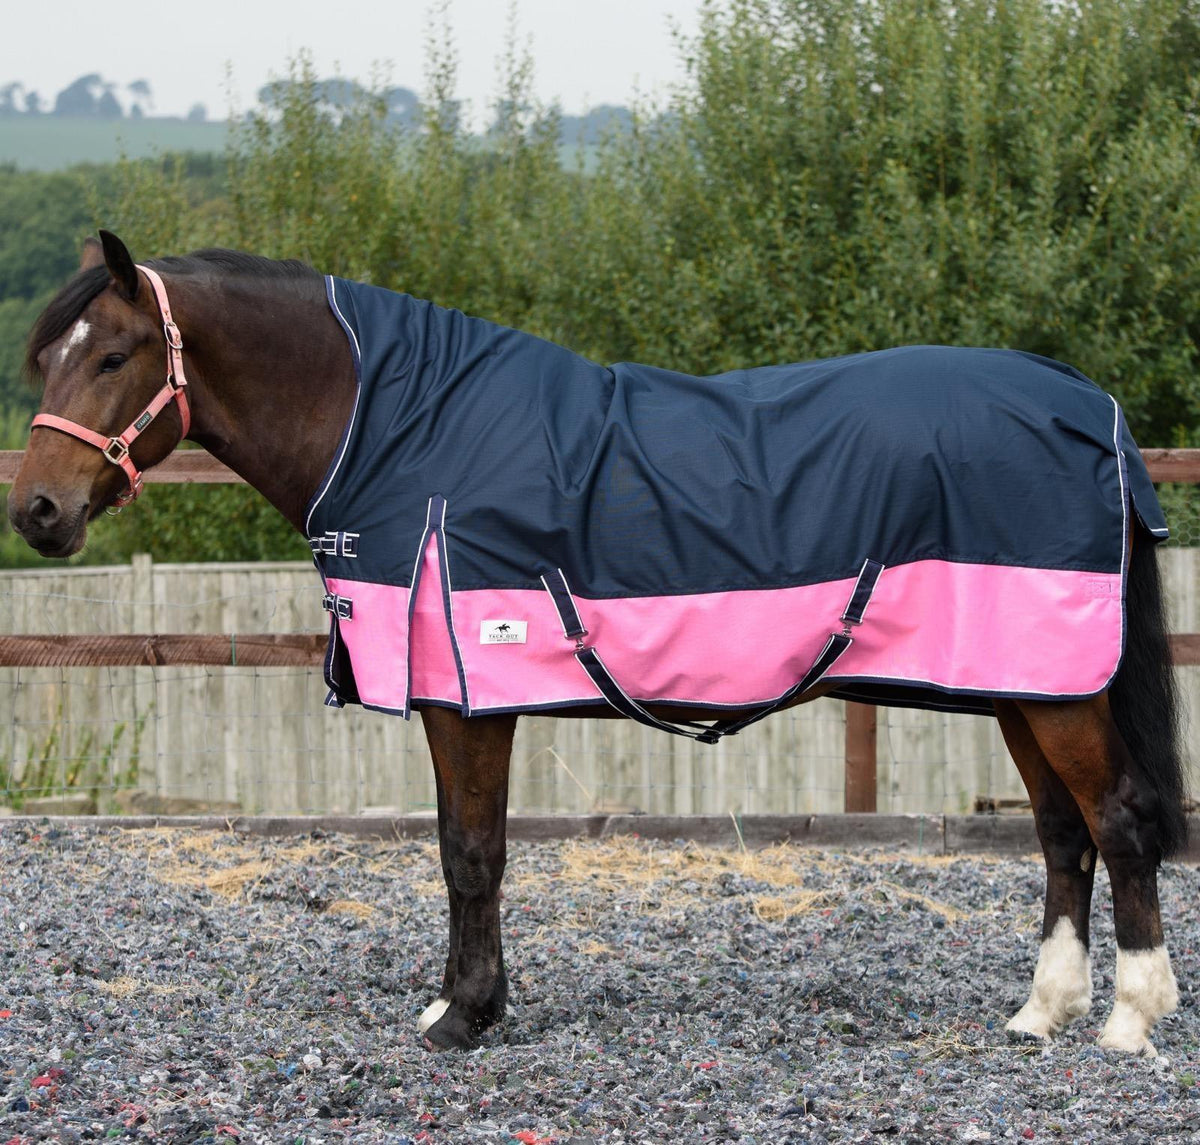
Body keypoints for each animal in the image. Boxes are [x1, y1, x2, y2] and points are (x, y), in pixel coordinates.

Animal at [8, 230, 1186, 1055]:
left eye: (113, 355)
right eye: (48, 359)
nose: (37, 512)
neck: (405, 426)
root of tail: (1090, 404)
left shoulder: (471, 694)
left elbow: (471, 851)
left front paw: (465, 1015)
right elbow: (459, 850)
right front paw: (458, 999)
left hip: (1056, 689)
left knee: (1118, 818)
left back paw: (1129, 1018)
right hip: (1021, 680)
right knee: (1062, 832)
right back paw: (1040, 1011)